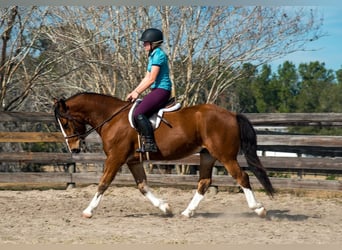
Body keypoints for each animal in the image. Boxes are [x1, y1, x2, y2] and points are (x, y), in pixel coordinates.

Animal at [54, 92, 276, 219]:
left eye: (65, 123)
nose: (74, 149)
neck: (112, 118)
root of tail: (231, 114)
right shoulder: (133, 161)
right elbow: (143, 186)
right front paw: (165, 208)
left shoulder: (115, 158)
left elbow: (103, 183)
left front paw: (88, 211)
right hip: (207, 155)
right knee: (204, 182)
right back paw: (187, 212)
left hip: (225, 156)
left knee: (242, 177)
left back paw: (259, 209)